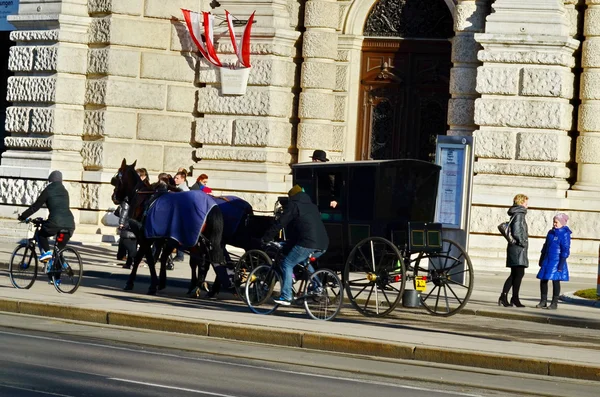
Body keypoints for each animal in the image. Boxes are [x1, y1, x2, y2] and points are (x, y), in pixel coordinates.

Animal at [112, 159, 225, 294]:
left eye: (117, 175)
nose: (114, 197)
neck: (142, 196)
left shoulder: (144, 236)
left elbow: (145, 258)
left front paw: (140, 283)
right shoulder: (161, 238)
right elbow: (160, 256)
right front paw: (160, 281)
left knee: (200, 260)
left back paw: (198, 286)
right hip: (202, 240)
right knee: (205, 261)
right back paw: (199, 285)